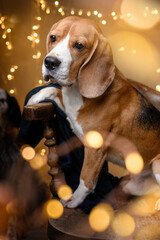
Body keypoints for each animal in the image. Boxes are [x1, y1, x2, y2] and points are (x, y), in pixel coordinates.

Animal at [27, 16, 160, 208]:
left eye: (79, 45)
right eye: (53, 38)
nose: (50, 62)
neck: (77, 90)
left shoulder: (95, 147)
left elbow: (86, 178)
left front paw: (74, 200)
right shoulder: (70, 108)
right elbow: (52, 90)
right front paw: (34, 99)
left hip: (157, 164)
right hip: (130, 185)